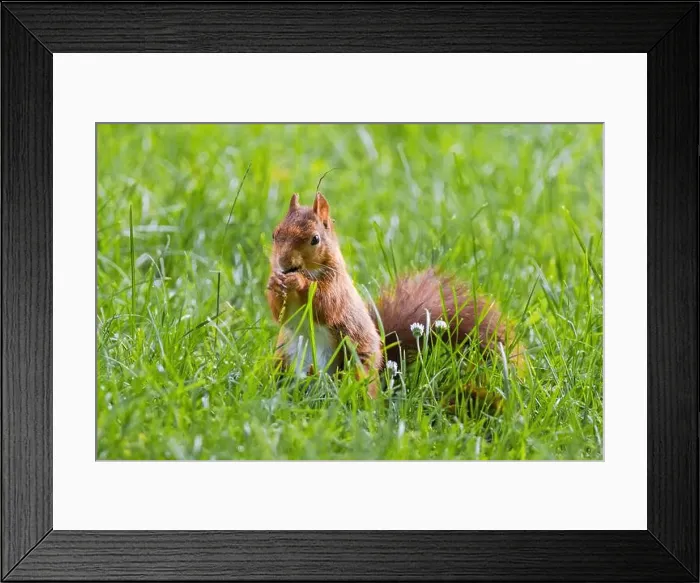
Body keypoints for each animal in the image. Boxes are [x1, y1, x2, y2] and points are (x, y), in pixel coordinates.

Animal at [266, 192, 525, 406]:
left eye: (315, 239)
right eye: (275, 234)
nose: (284, 264)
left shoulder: (336, 287)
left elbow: (324, 304)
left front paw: (298, 282)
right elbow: (281, 315)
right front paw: (274, 283)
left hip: (354, 362)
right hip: (283, 358)